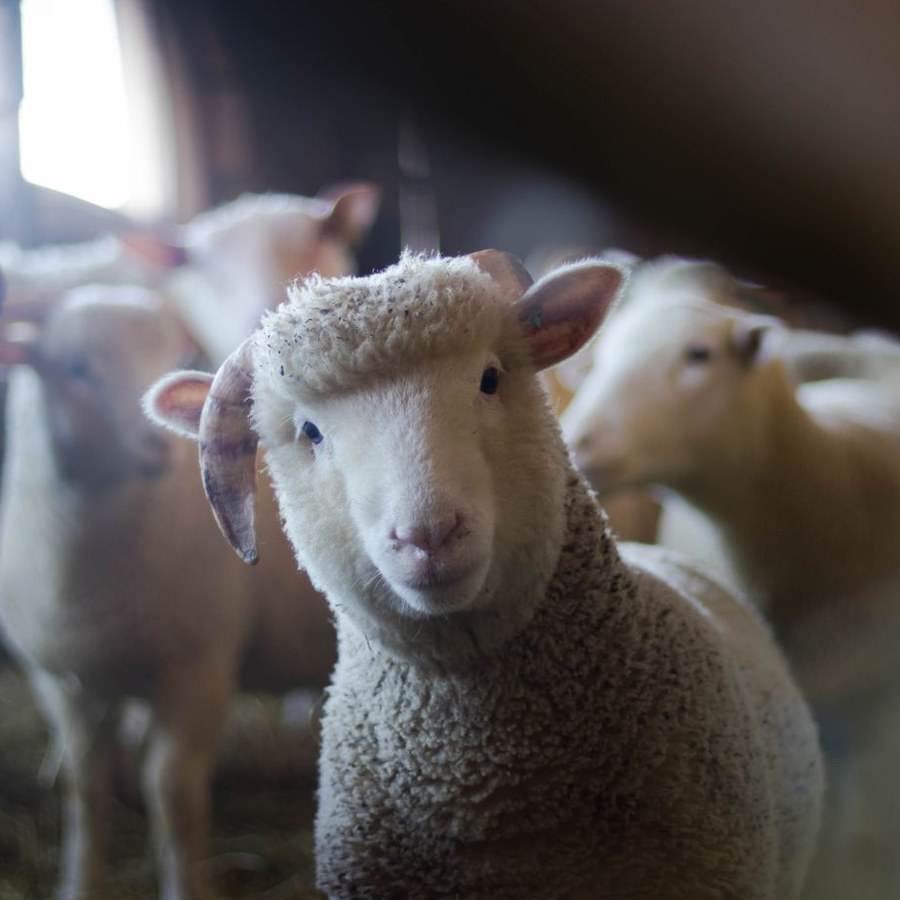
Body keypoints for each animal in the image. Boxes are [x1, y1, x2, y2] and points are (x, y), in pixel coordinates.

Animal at [0, 284, 335, 900]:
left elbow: (171, 794)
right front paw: (77, 883)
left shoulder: (200, 670)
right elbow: (83, 788)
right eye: (76, 368)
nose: (160, 444)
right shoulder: (62, 681)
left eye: (175, 354)